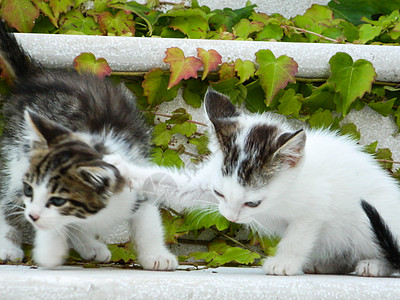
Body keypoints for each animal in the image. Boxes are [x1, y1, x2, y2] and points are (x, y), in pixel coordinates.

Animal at [0, 21, 177, 270]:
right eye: (32, 192)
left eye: (58, 200)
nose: (34, 216)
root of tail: (35, 77)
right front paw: (50, 250)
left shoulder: (139, 182)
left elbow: (148, 224)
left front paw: (156, 255)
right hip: (19, 156)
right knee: (7, 200)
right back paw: (8, 247)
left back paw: (89, 246)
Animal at [104, 88, 400, 276]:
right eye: (219, 194)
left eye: (253, 203)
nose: (231, 218)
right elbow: (170, 183)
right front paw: (122, 166)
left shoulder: (315, 208)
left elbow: (298, 236)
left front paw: (284, 263)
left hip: (366, 219)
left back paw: (374, 266)